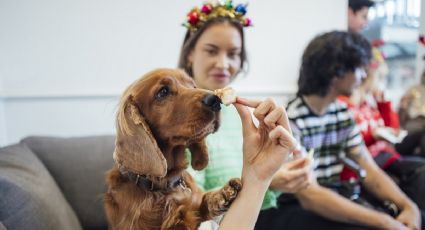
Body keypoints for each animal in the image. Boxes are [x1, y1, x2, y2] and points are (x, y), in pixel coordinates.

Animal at [103, 68, 242, 230]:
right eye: (163, 92)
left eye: (193, 85)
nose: (215, 100)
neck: (165, 186)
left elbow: (202, 203)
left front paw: (222, 193)